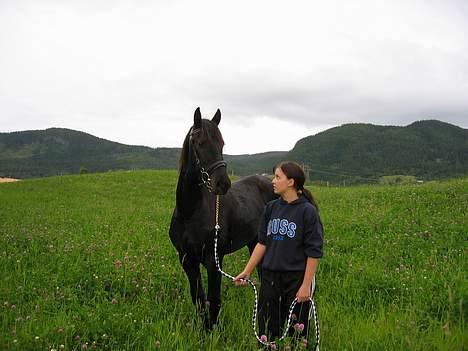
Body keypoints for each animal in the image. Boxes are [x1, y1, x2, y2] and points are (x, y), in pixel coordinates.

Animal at [170, 107, 276, 330]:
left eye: (222, 143)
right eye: (199, 143)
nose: (223, 184)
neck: (189, 213)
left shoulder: (214, 261)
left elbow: (214, 300)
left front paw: (212, 331)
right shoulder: (187, 260)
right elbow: (199, 298)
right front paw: (203, 330)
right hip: (254, 243)